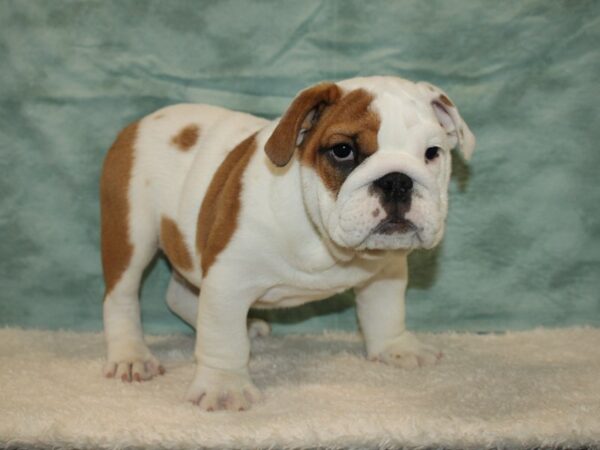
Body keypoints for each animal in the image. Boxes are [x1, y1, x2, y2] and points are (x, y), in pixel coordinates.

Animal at [99, 76, 474, 412]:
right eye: (343, 151)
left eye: (432, 153)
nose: (397, 181)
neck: (323, 237)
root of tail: (138, 124)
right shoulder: (228, 278)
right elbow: (222, 336)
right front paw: (224, 385)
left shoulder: (386, 270)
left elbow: (386, 312)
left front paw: (396, 347)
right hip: (131, 232)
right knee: (121, 297)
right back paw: (131, 356)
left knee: (181, 294)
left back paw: (246, 326)